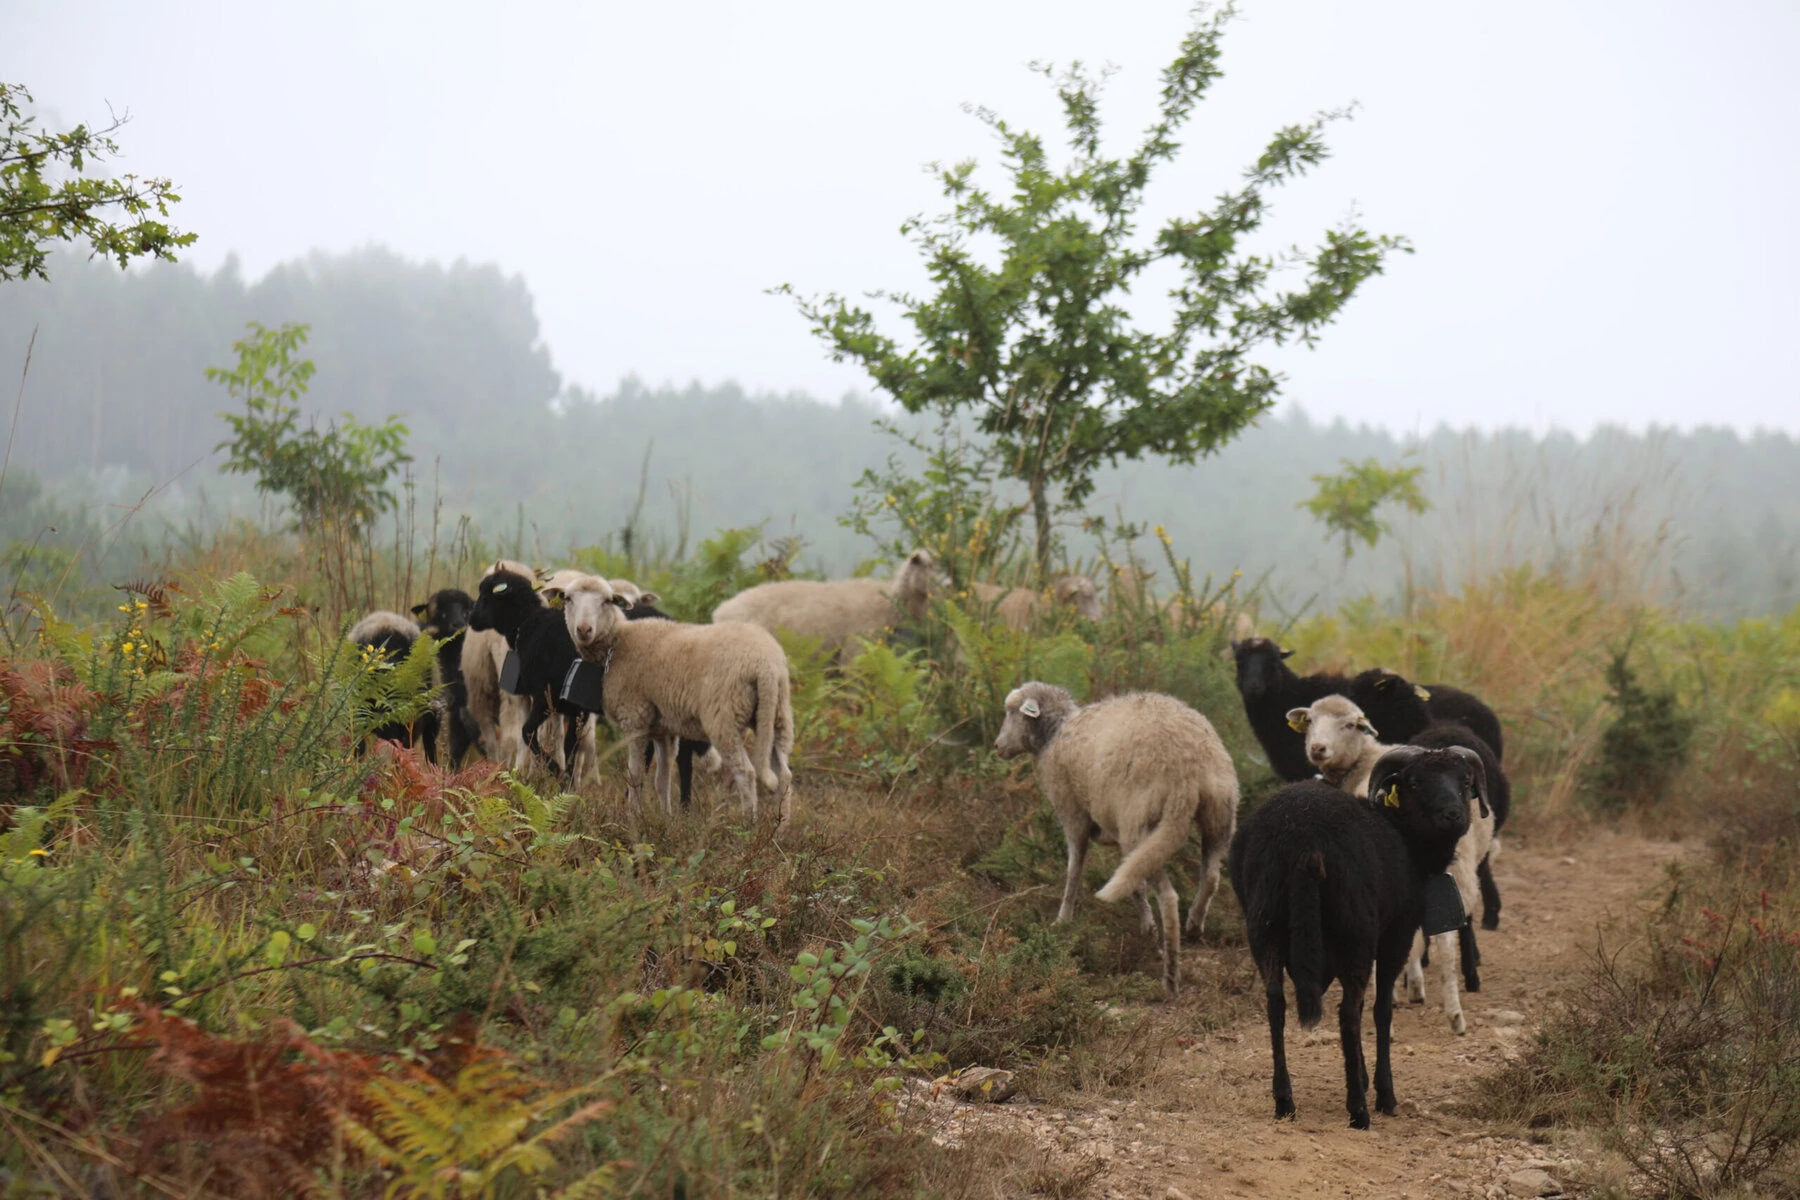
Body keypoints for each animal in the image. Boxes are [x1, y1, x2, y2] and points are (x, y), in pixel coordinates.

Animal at [465, 570, 600, 784]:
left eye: (487, 595)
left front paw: (555, 770)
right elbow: (570, 745)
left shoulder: (544, 697)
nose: (472, 618)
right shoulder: (576, 710)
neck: (527, 623)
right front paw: (566, 781)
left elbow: (527, 732)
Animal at [558, 573, 794, 820]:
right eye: (568, 599)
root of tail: (765, 665)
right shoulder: (663, 729)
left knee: (746, 773)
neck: (618, 643)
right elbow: (662, 780)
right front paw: (666, 818)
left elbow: (635, 775)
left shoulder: (635, 717)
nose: (584, 629)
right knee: (784, 775)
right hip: (775, 715)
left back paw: (749, 823)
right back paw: (781, 826)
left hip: (725, 717)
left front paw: (633, 817)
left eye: (607, 601)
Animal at [991, 682, 1238, 999]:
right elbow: (1132, 884)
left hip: (1142, 825)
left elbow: (1075, 870)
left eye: (1011, 712)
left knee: (1168, 896)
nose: (998, 746)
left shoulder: (1074, 815)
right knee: (1210, 879)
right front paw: (1147, 927)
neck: (1054, 734)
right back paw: (1194, 925)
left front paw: (1063, 921)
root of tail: (1189, 769)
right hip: (1220, 814)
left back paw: (1170, 975)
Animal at [1230, 744, 1485, 1128]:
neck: (1406, 837)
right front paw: (1381, 1092)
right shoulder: (1396, 935)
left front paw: (1363, 1077)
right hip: (1356, 929)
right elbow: (1380, 1009)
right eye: (1414, 782)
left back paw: (1284, 1101)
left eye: (1465, 780)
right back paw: (1359, 1111)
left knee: (1276, 1002)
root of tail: (1302, 839)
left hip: (1265, 926)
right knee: (1348, 1012)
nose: (1453, 815)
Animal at [1288, 695, 1501, 1034]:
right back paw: (1455, 1015)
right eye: (1310, 721)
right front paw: (1415, 985)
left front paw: (1408, 986)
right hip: (1460, 876)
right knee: (1446, 942)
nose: (1318, 748)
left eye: (1349, 724)